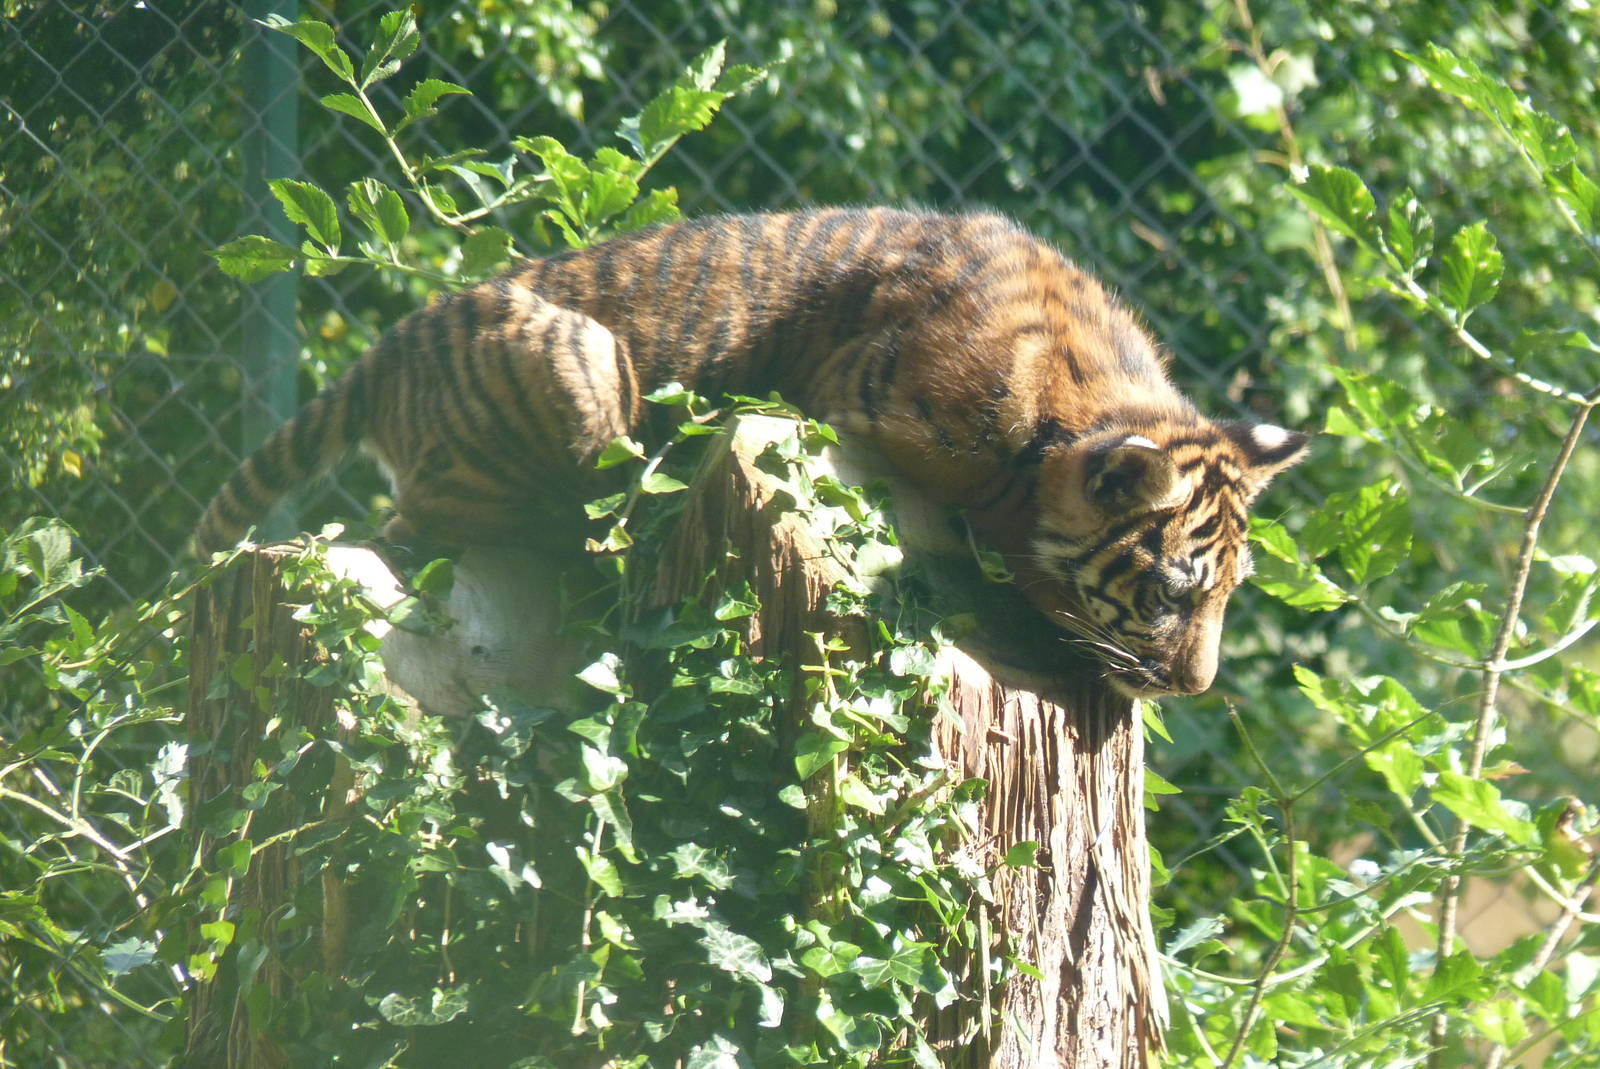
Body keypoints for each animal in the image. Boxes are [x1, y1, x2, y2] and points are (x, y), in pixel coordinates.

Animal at [196, 207, 1308, 698]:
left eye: (1228, 596)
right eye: (1168, 591)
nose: (1195, 687)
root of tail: (390, 344)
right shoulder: (864, 420)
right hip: (580, 371)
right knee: (413, 526)